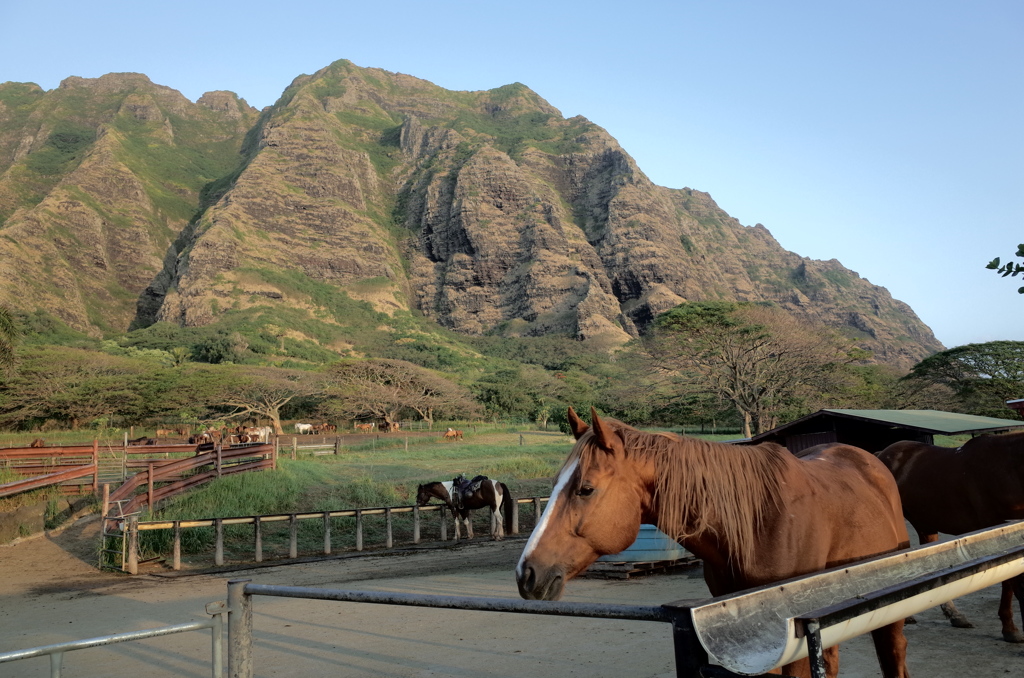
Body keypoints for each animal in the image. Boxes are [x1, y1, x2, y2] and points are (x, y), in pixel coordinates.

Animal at [876, 432, 1024, 647]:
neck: (1007, 467)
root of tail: (881, 454)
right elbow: (1009, 581)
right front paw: (1010, 629)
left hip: (925, 524)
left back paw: (954, 615)